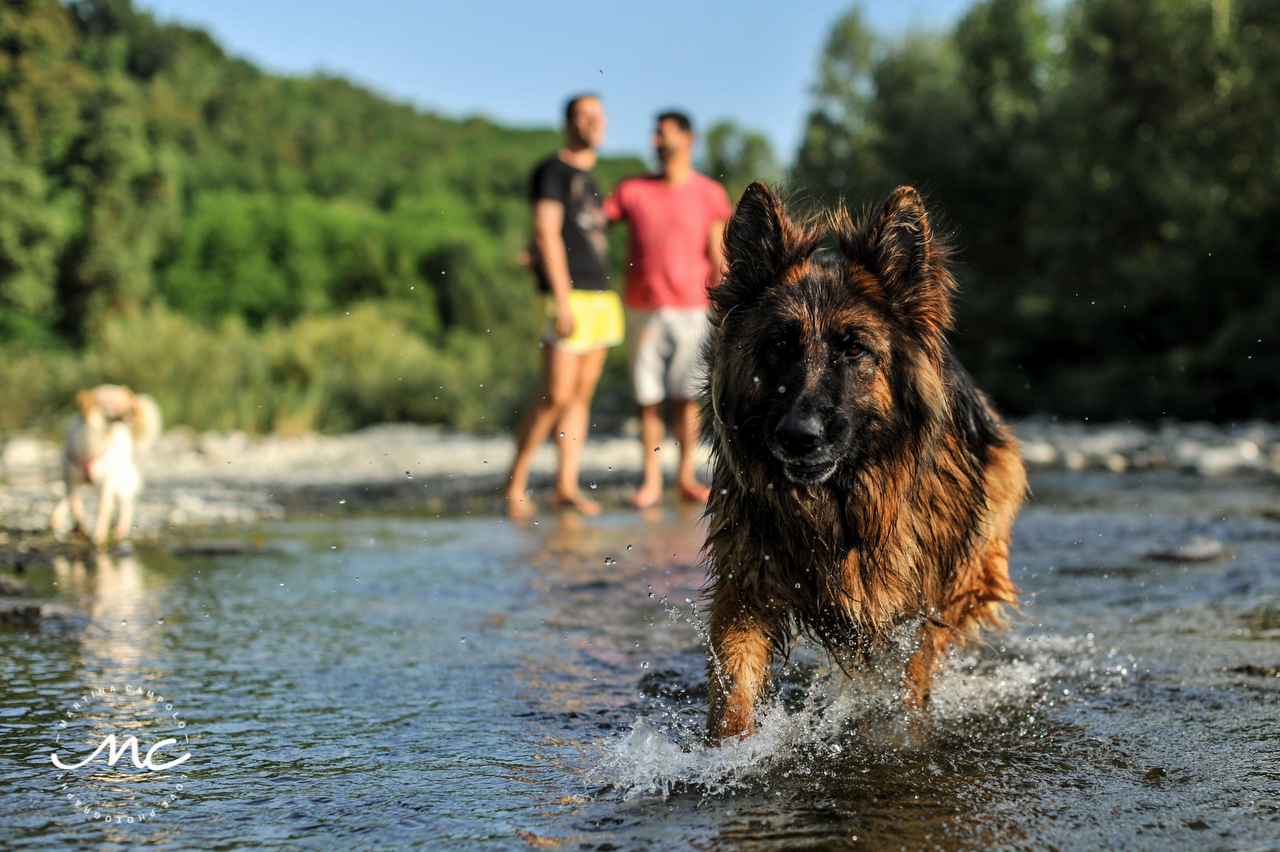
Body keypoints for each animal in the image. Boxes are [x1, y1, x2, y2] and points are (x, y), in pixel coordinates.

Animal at [50, 383, 161, 544]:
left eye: (125, 402)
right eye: (112, 402)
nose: (130, 410)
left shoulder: (106, 482)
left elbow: (103, 509)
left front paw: (99, 536)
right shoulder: (70, 478)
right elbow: (76, 505)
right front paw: (79, 528)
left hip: (120, 482)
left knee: (125, 506)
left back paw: (121, 530)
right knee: (69, 498)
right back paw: (56, 518)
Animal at [701, 182, 1018, 741]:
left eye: (854, 350)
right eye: (778, 345)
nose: (798, 436)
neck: (840, 507)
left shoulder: (922, 601)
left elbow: (910, 681)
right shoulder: (748, 581)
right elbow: (734, 686)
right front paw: (726, 749)